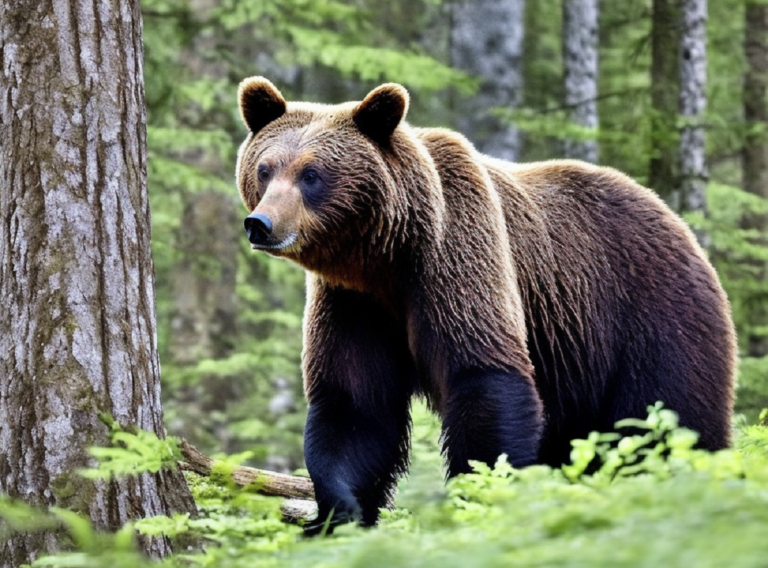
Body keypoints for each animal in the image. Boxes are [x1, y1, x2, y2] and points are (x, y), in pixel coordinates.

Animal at [234, 77, 736, 536]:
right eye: (265, 168)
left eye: (311, 174)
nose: (261, 223)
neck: (388, 258)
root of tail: (678, 223)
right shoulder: (356, 302)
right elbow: (355, 405)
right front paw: (338, 514)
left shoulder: (458, 255)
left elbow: (483, 377)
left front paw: (478, 497)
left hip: (651, 312)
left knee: (666, 418)